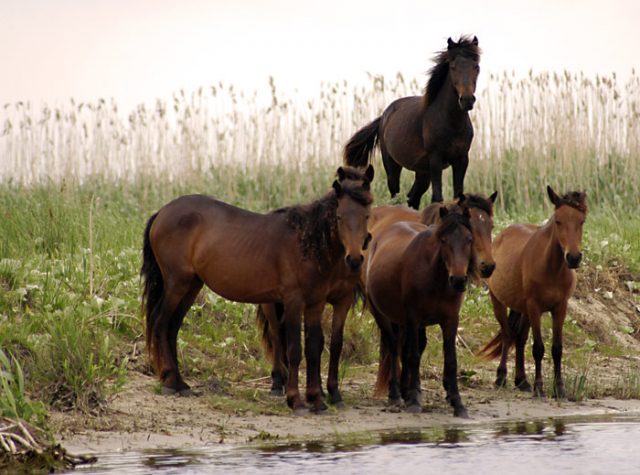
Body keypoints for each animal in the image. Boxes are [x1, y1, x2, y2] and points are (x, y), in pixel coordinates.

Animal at [142, 165, 372, 414]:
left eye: (367, 215)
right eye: (339, 217)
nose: (355, 259)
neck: (306, 243)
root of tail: (161, 213)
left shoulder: (315, 303)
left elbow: (313, 348)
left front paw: (317, 400)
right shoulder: (294, 302)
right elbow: (294, 349)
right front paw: (296, 400)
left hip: (192, 285)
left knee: (172, 327)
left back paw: (179, 383)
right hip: (177, 283)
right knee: (161, 322)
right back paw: (169, 380)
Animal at [364, 208, 476, 416]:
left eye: (469, 239)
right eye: (443, 240)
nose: (458, 280)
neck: (436, 278)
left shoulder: (450, 320)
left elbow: (451, 361)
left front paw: (458, 403)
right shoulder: (413, 318)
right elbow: (413, 356)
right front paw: (414, 401)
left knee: (404, 348)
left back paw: (406, 392)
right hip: (383, 316)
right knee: (394, 348)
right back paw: (395, 395)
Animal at [478, 186, 588, 398]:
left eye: (582, 221)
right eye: (558, 220)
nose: (573, 257)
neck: (551, 268)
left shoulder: (560, 308)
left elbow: (557, 348)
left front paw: (559, 388)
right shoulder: (535, 307)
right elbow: (538, 348)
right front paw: (539, 387)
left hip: (524, 309)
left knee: (520, 338)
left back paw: (522, 381)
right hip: (499, 302)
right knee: (508, 334)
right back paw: (501, 377)